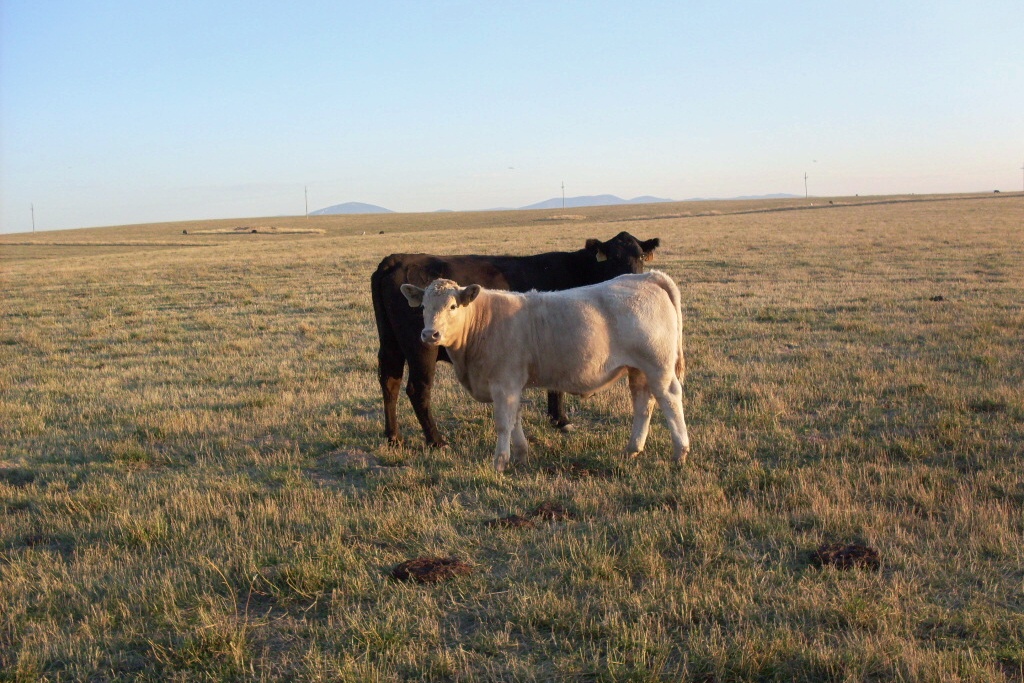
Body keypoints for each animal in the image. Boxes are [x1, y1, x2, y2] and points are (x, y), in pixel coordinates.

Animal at [371, 232, 660, 447]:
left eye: (640, 255)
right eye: (613, 258)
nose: (633, 277)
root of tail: (396, 259)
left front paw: (558, 419)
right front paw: (562, 419)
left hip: (390, 344)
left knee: (390, 382)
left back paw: (393, 436)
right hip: (422, 346)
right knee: (417, 389)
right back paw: (436, 440)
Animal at [400, 271, 690, 472]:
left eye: (452, 306)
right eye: (423, 307)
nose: (430, 334)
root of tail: (646, 276)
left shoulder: (503, 383)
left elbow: (503, 423)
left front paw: (499, 462)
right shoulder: (512, 385)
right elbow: (515, 419)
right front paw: (520, 455)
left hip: (658, 366)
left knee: (670, 399)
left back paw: (680, 452)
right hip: (638, 369)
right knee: (643, 403)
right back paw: (632, 449)